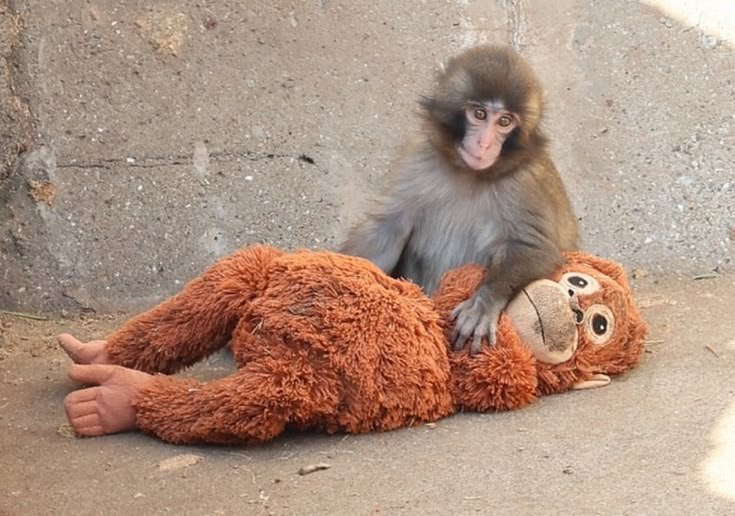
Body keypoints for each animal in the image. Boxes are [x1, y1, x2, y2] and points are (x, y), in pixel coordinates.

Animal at [338, 45, 579, 354]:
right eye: (479, 114)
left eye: (504, 121)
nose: (485, 144)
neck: (469, 174)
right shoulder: (419, 155)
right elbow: (389, 228)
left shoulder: (526, 183)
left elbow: (536, 249)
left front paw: (484, 303)